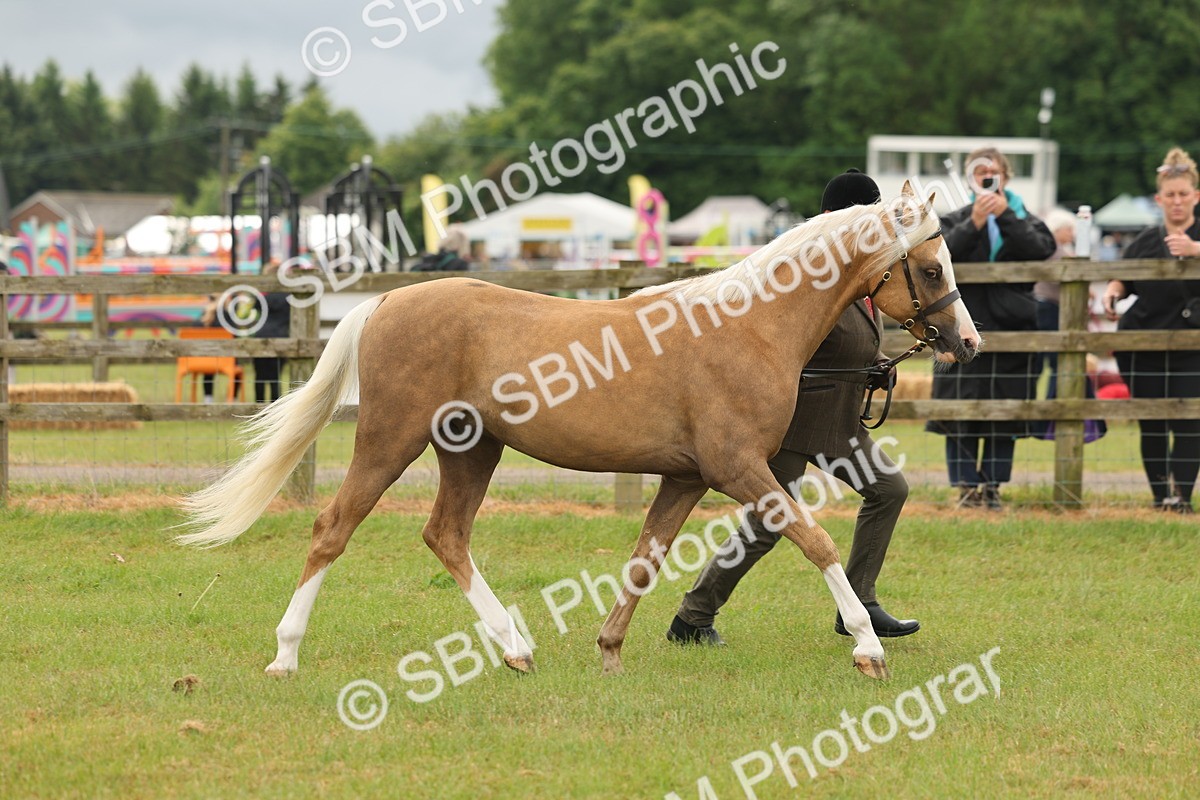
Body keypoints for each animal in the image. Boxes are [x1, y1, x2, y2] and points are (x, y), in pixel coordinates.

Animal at [178, 182, 979, 681]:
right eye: (934, 266)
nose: (967, 343)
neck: (750, 325)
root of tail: (385, 303)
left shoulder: (687, 477)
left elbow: (645, 560)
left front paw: (610, 650)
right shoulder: (739, 467)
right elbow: (814, 541)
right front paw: (869, 648)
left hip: (472, 449)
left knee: (446, 536)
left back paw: (515, 649)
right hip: (390, 438)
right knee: (333, 528)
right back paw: (286, 655)